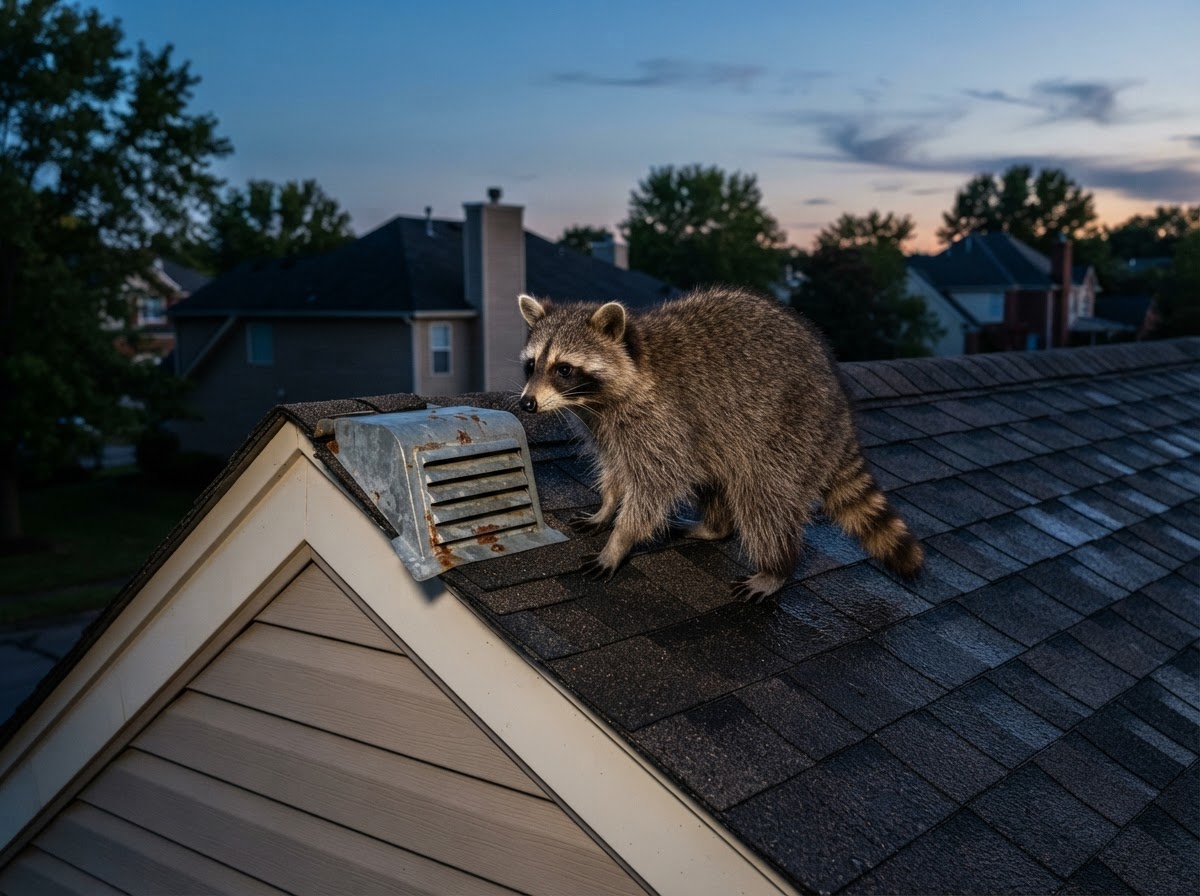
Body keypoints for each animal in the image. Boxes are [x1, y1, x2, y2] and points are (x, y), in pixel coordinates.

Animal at [517, 286, 923, 602]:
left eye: (564, 369)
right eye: (532, 365)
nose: (527, 404)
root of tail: (841, 407)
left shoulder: (661, 420)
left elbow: (657, 484)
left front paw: (620, 540)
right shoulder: (607, 427)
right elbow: (616, 468)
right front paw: (607, 506)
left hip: (789, 432)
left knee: (763, 499)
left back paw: (777, 566)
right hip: (726, 436)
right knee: (715, 477)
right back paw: (715, 527)